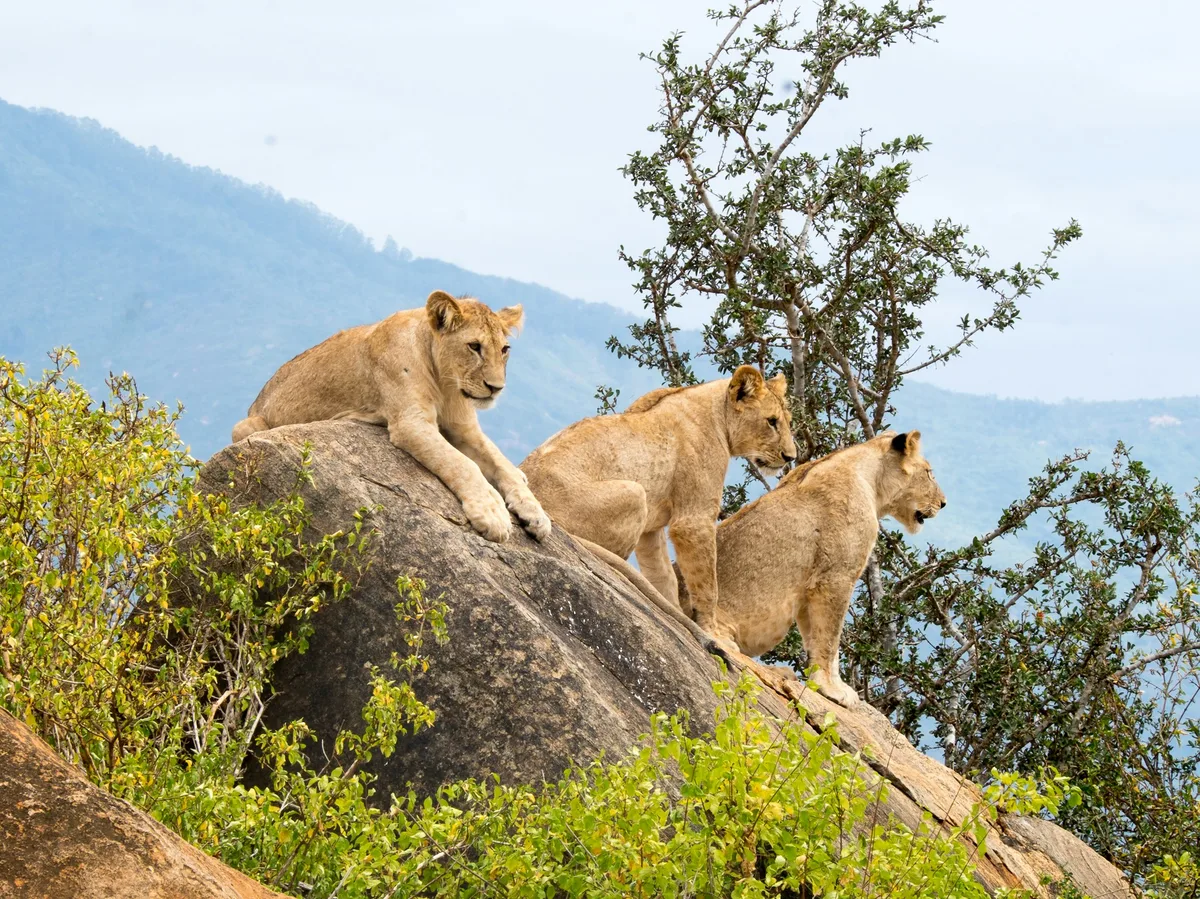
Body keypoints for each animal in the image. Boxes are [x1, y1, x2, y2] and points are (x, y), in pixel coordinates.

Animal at [231, 290, 551, 544]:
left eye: (504, 349)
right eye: (474, 346)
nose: (496, 388)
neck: (445, 383)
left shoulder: (464, 428)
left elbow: (501, 464)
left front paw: (536, 514)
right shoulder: (410, 423)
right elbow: (462, 464)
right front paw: (493, 514)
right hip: (245, 427)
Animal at [520, 366, 797, 637]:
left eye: (788, 422)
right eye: (772, 422)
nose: (790, 457)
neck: (718, 413)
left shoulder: (651, 530)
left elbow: (664, 576)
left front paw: (674, 612)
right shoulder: (692, 521)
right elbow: (708, 584)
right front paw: (710, 630)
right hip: (635, 493)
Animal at [684, 430, 946, 706]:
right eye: (929, 472)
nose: (943, 503)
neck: (872, 481)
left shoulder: (811, 587)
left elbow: (816, 638)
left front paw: (824, 684)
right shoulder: (835, 577)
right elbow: (830, 639)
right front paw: (832, 689)